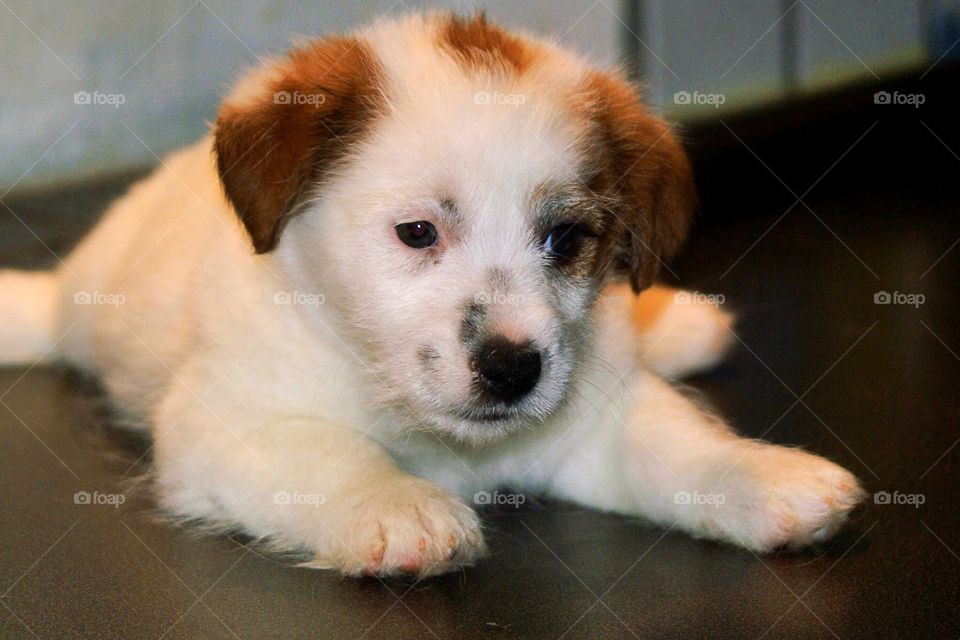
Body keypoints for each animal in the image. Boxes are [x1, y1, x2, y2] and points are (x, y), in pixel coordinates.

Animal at [0, 13, 864, 576]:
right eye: (417, 232)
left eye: (564, 240)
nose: (512, 369)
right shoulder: (222, 426)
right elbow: (331, 453)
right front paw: (394, 506)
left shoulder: (600, 419)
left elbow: (679, 447)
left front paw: (758, 476)